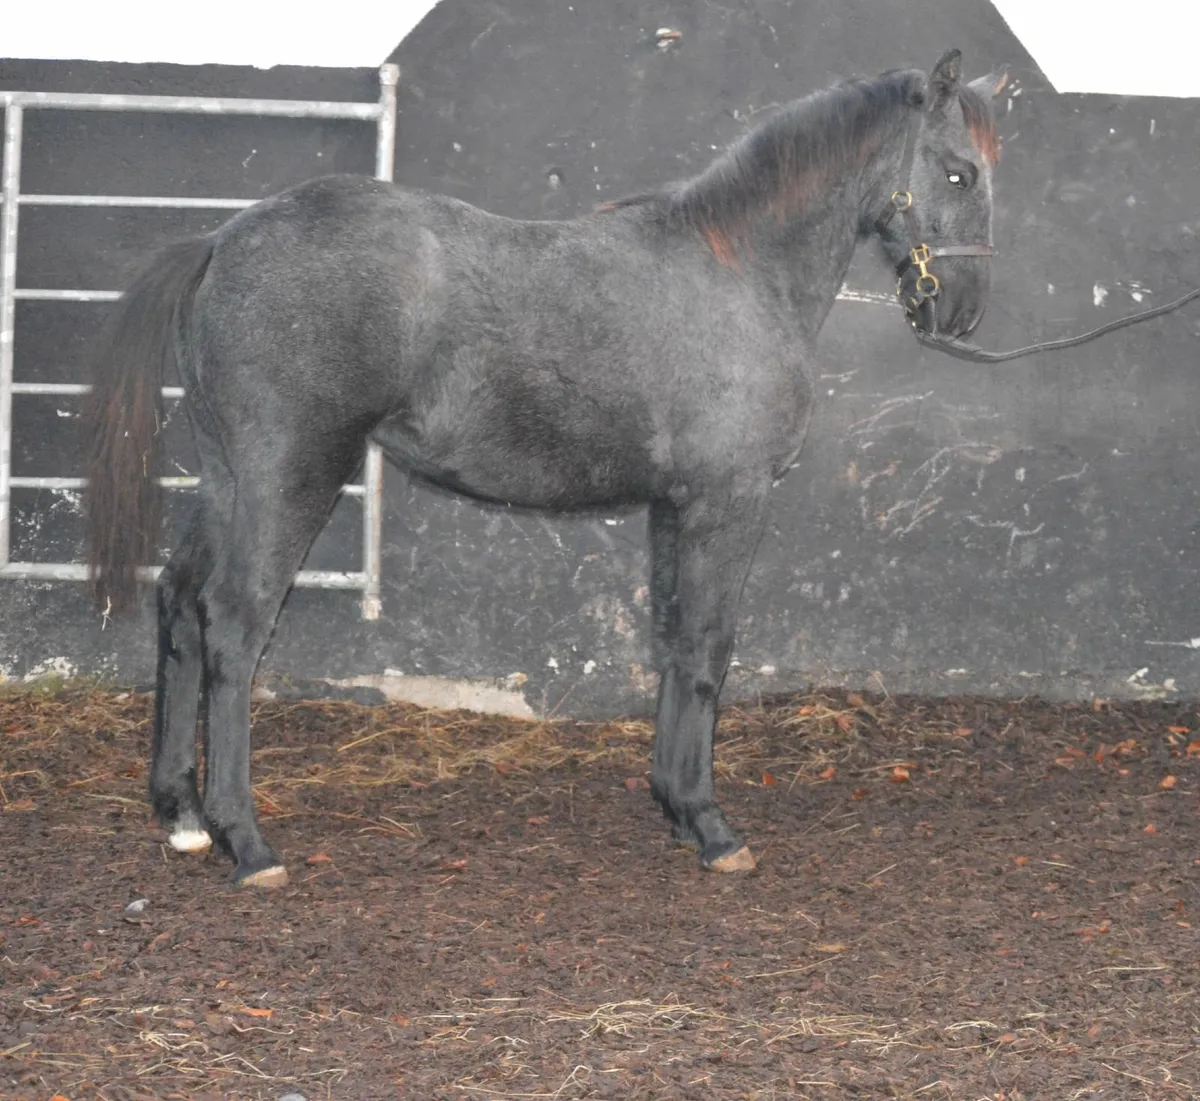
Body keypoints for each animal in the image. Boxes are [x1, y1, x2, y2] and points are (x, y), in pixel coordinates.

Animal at [82, 50, 1007, 887]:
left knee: (179, 601)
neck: (741, 272)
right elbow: (710, 645)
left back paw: (182, 814)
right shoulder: (727, 500)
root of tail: (220, 240)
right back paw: (247, 841)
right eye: (958, 172)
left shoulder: (673, 506)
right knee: (234, 623)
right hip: (288, 479)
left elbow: (672, 639)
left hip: (227, 479)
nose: (962, 313)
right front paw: (712, 826)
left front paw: (674, 804)